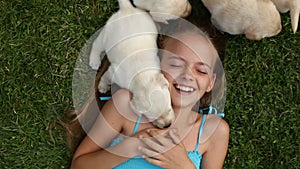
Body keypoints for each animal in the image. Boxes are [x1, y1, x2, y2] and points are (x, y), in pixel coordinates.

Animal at [89, 0, 173, 128]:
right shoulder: (114, 73)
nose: (168, 125)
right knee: (96, 45)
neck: (142, 76)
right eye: (152, 119)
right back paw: (94, 60)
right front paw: (103, 87)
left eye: (169, 109)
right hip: (105, 36)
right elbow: (105, 78)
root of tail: (127, 8)